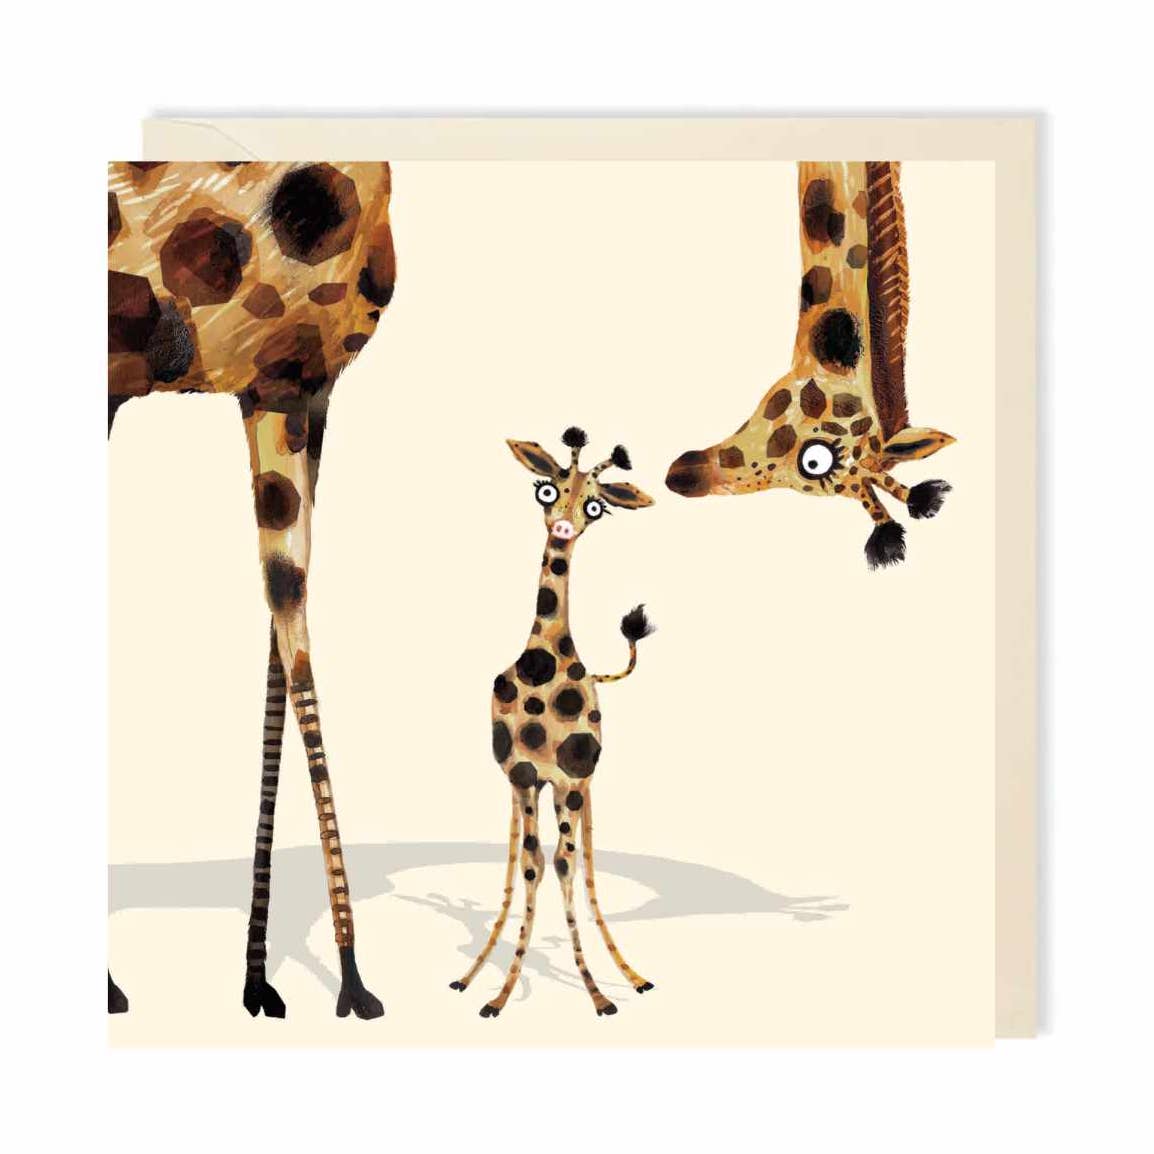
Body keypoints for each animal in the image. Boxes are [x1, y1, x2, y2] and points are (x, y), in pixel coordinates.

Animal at [107, 161, 396, 1019]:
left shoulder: (301, 386)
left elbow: (279, 642)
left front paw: (259, 978)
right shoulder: (277, 377)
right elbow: (292, 626)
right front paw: (353, 980)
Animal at [450, 428, 657, 1018]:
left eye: (596, 506)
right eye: (547, 489)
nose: (563, 526)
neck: (541, 662)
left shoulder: (567, 780)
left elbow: (562, 865)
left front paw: (597, 992)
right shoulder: (522, 776)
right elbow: (532, 866)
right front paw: (496, 990)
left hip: (582, 787)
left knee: (579, 858)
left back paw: (629, 973)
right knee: (527, 858)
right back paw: (475, 970)